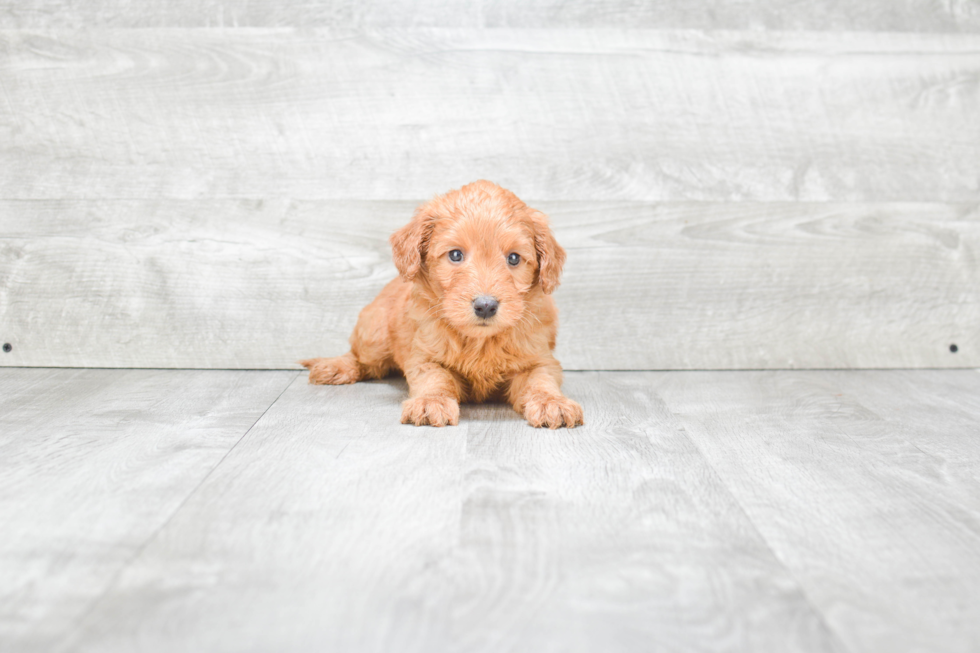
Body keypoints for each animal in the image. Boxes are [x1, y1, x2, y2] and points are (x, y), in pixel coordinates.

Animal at [300, 178, 580, 428]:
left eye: (513, 258)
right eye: (455, 255)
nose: (485, 306)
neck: (480, 342)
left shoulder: (540, 359)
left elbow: (541, 380)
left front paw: (552, 402)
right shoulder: (425, 356)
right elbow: (436, 378)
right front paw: (430, 402)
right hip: (374, 335)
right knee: (361, 358)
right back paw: (335, 367)